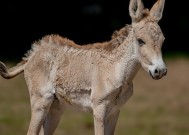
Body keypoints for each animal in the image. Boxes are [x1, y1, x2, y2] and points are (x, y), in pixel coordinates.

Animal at [1, 0, 167, 135]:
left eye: (163, 40)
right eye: (140, 41)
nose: (161, 71)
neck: (116, 70)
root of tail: (34, 52)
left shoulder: (115, 111)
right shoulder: (99, 108)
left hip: (56, 106)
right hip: (40, 101)